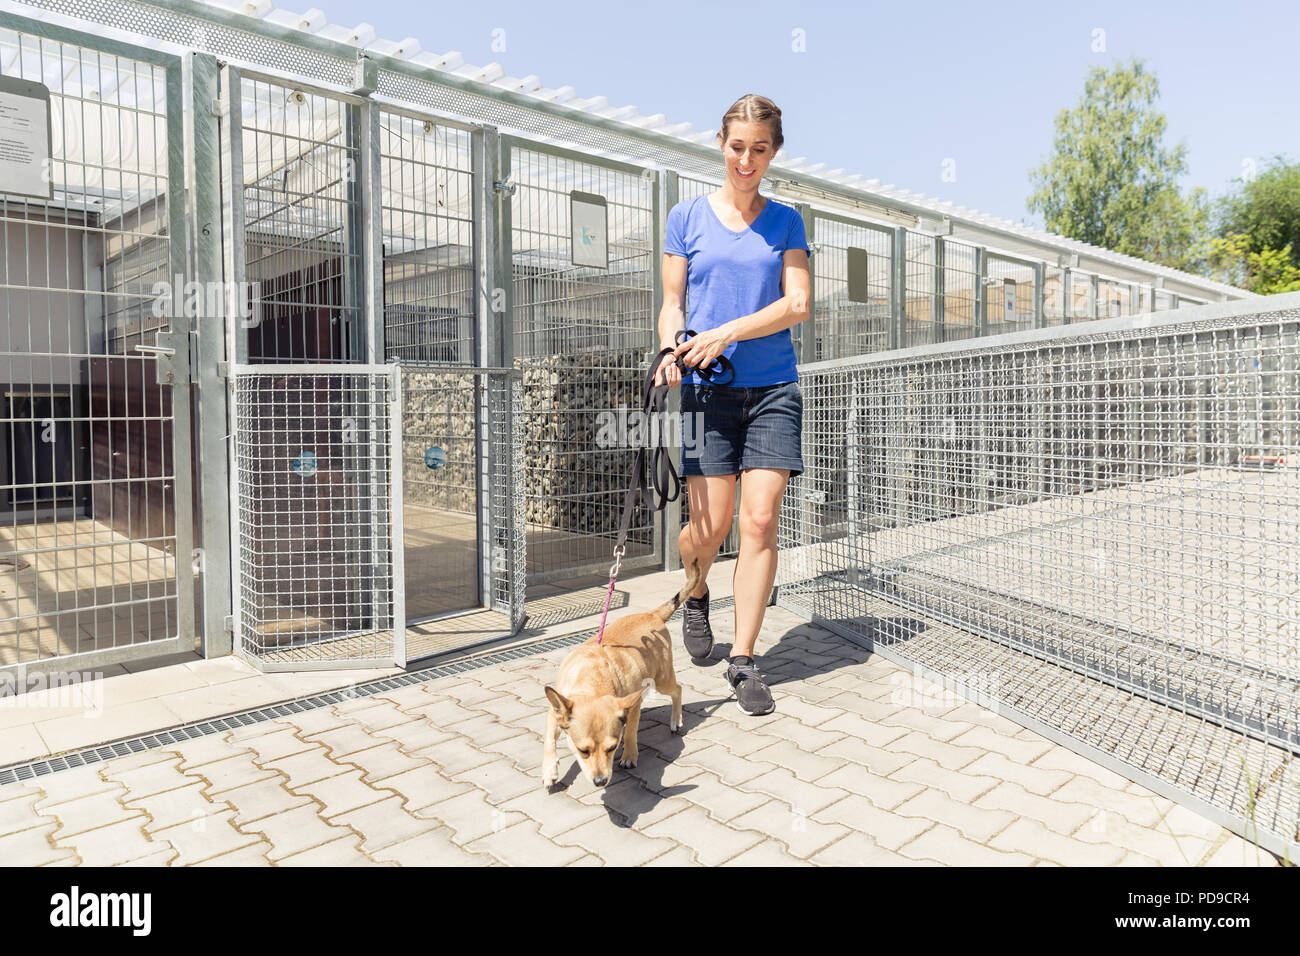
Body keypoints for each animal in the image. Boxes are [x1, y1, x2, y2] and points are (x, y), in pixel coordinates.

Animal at [540, 556, 702, 790]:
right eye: (583, 751)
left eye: (612, 747)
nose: (600, 781)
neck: (591, 681)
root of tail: (652, 615)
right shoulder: (554, 713)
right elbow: (548, 741)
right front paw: (549, 771)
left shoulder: (632, 706)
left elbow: (631, 732)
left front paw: (629, 756)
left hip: (662, 680)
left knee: (678, 690)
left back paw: (675, 720)